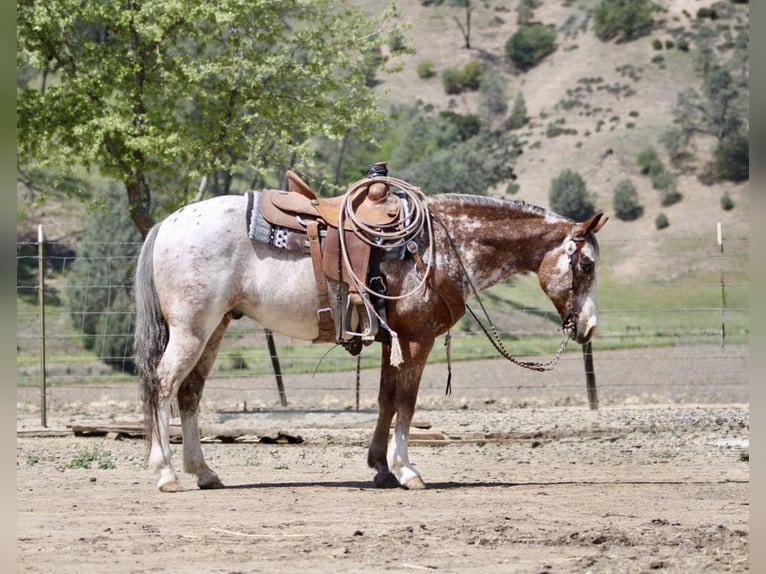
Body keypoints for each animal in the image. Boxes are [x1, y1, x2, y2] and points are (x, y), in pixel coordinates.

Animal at [133, 185, 607, 492]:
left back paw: (204, 472)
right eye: (586, 265)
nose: (588, 327)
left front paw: (380, 467)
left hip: (215, 327)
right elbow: (407, 404)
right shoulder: (416, 340)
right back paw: (165, 473)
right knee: (163, 385)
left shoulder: (390, 342)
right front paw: (407, 471)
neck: (443, 246)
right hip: (192, 329)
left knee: (190, 393)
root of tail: (167, 224)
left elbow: (385, 400)